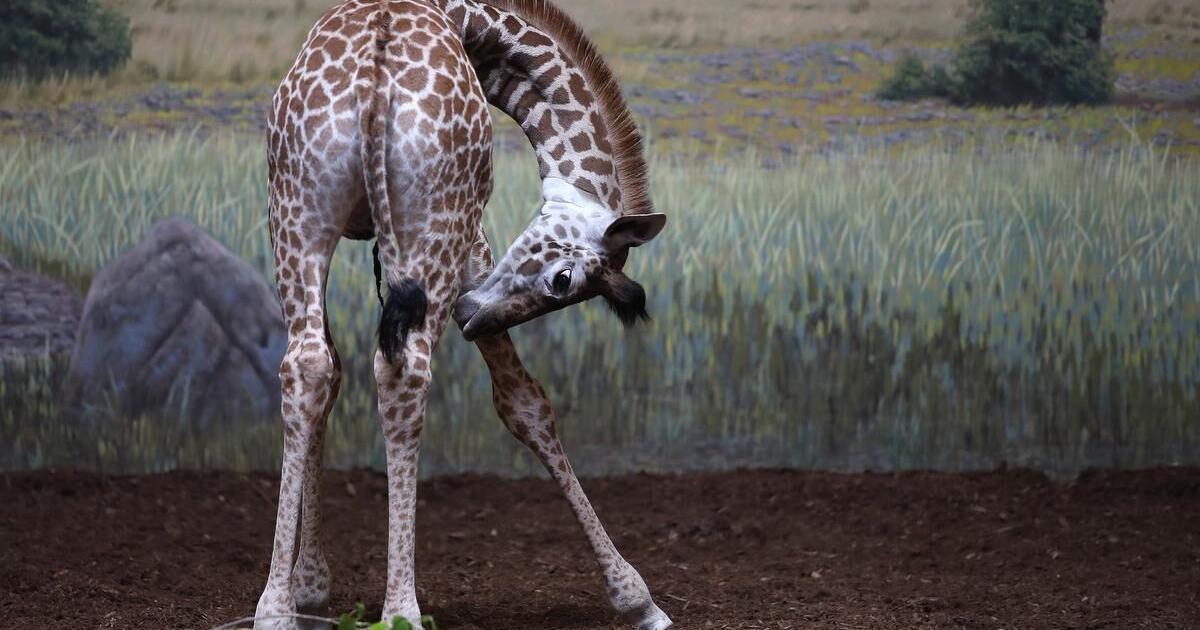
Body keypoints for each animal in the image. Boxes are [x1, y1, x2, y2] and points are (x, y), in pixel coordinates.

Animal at [254, 1, 671, 629]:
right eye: (563, 281)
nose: (474, 315)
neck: (470, 21)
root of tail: (375, 80)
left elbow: (329, 378)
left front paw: (308, 584)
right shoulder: (472, 244)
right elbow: (526, 404)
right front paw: (637, 597)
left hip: (301, 214)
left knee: (309, 366)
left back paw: (275, 609)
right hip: (435, 226)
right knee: (404, 371)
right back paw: (401, 609)